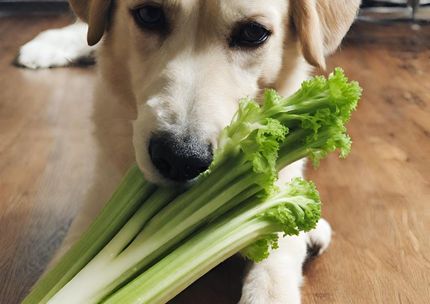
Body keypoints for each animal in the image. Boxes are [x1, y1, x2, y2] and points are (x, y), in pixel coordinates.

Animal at [16, 1, 360, 302]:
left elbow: (276, 260)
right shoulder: (101, 193)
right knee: (87, 32)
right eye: (149, 14)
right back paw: (44, 46)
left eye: (253, 33)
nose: (181, 159)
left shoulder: (281, 181)